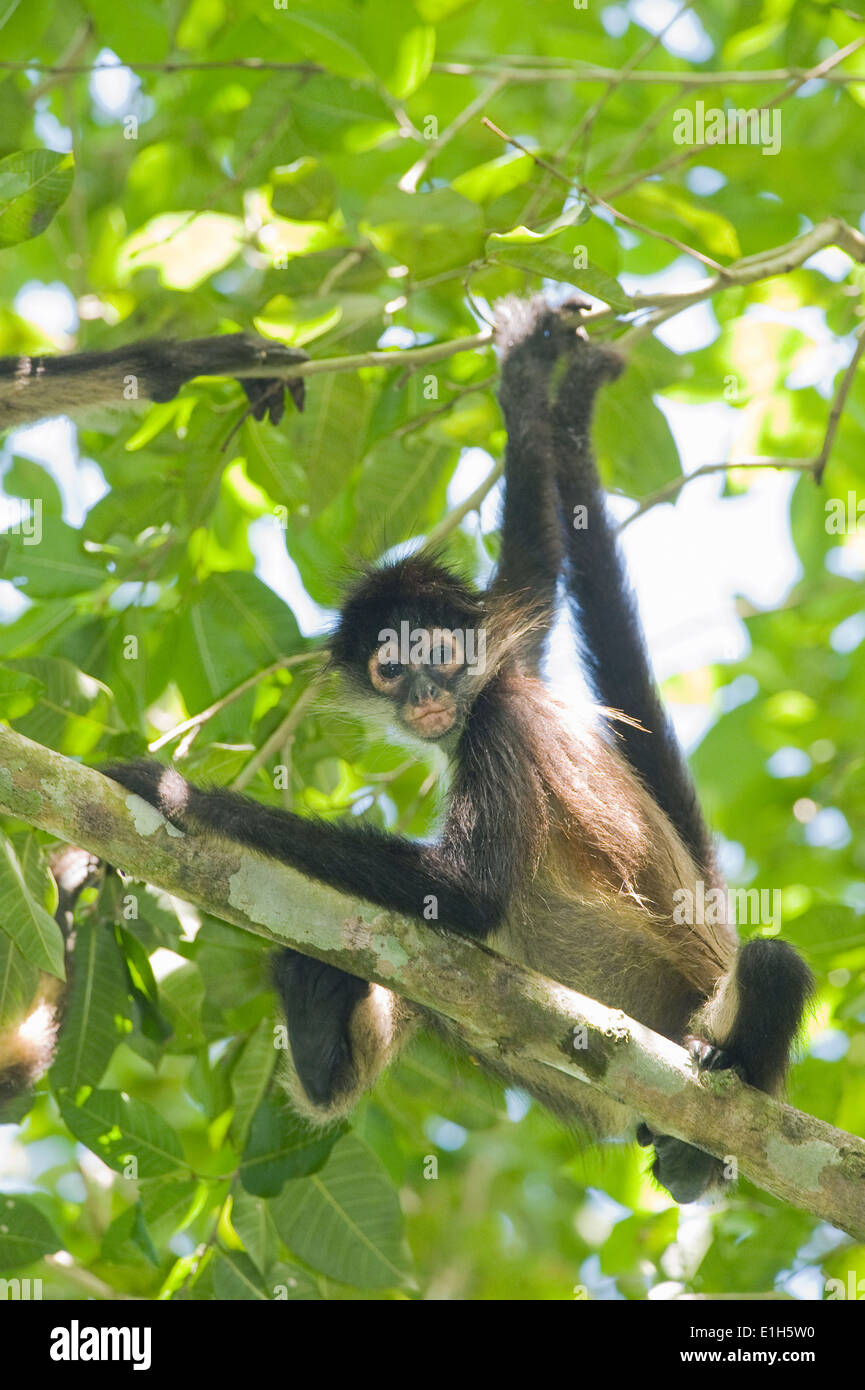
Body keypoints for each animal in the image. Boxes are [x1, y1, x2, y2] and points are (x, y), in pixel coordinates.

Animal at [93, 296, 812, 1206]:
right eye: (390, 668)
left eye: (431, 654)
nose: (424, 697)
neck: (474, 705)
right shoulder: (510, 661)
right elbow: (535, 583)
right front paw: (526, 381)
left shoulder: (497, 713)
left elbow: (466, 895)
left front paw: (182, 795)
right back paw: (321, 1036)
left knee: (771, 963)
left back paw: (709, 1116)